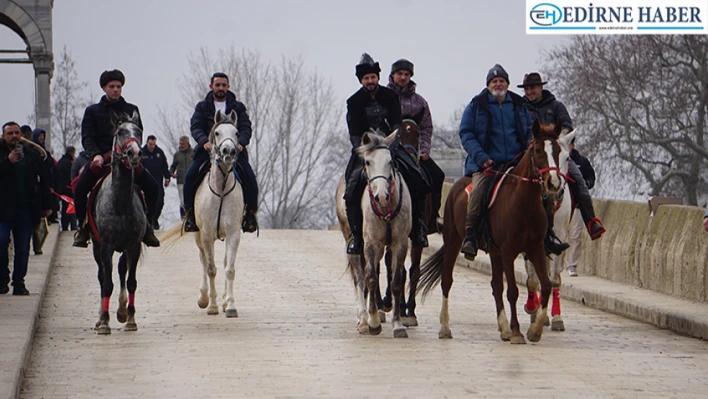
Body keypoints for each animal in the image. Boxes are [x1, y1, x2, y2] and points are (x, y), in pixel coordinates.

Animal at [334, 130, 412, 338]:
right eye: (368, 162)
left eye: (390, 161)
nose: (382, 197)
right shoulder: (370, 243)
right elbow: (369, 278)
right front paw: (374, 322)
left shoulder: (399, 243)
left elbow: (396, 281)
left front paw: (397, 324)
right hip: (351, 240)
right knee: (360, 277)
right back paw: (363, 318)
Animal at [418, 121, 568, 344]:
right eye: (538, 150)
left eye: (558, 151)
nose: (554, 183)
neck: (524, 202)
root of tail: (457, 186)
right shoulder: (508, 251)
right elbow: (513, 291)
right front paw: (517, 332)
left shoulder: (535, 248)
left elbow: (547, 284)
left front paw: (535, 330)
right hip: (454, 240)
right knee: (447, 281)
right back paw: (445, 327)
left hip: (495, 252)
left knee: (496, 285)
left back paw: (503, 328)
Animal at [524, 128, 576, 332]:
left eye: (567, 157)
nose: (555, 186)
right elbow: (533, 277)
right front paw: (533, 309)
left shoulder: (560, 236)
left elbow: (553, 278)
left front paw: (556, 318)